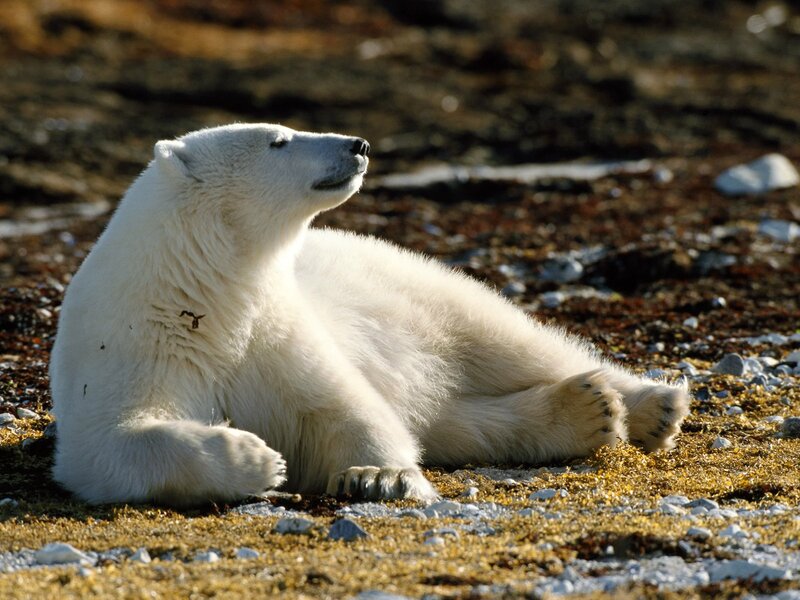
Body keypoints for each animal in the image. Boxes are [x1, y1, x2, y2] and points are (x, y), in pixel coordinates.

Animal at [50, 123, 690, 506]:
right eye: (278, 140)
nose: (357, 144)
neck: (205, 295)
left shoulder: (274, 331)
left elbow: (347, 406)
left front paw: (376, 476)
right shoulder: (134, 344)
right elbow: (112, 443)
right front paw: (257, 458)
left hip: (415, 287)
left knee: (507, 341)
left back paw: (650, 404)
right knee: (458, 420)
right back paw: (586, 410)